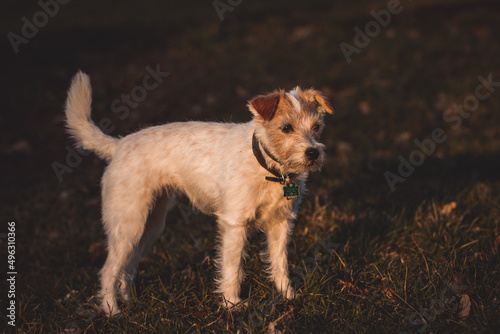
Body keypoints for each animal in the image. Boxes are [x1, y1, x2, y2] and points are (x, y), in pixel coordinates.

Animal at [64, 70, 334, 316]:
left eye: (316, 127)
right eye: (286, 128)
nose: (313, 153)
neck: (268, 167)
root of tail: (118, 145)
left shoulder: (280, 223)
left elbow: (280, 263)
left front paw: (287, 296)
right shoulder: (234, 224)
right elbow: (232, 267)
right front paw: (232, 304)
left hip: (150, 226)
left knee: (127, 267)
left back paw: (129, 301)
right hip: (128, 225)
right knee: (108, 270)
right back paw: (112, 310)